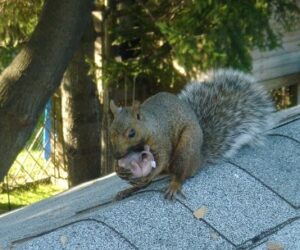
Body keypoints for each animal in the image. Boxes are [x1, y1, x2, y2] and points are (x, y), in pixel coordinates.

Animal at [109, 68, 274, 199]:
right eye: (110, 131)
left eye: (132, 133)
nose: (116, 155)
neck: (149, 125)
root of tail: (199, 158)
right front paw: (118, 169)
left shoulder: (161, 139)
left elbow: (161, 159)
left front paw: (149, 173)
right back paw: (128, 190)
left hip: (186, 147)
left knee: (180, 174)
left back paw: (173, 185)